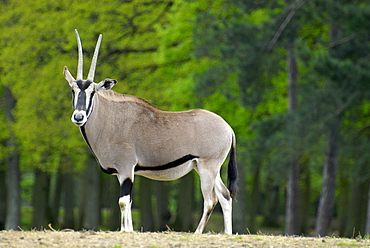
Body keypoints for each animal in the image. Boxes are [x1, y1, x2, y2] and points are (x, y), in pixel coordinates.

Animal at [63, 29, 237, 234]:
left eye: (93, 92)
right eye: (73, 91)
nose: (79, 116)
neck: (109, 118)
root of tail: (228, 128)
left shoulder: (126, 169)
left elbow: (123, 202)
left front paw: (126, 231)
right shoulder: (122, 173)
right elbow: (128, 203)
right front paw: (128, 230)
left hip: (207, 167)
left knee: (211, 200)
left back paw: (197, 233)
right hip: (208, 168)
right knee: (225, 196)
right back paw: (227, 234)